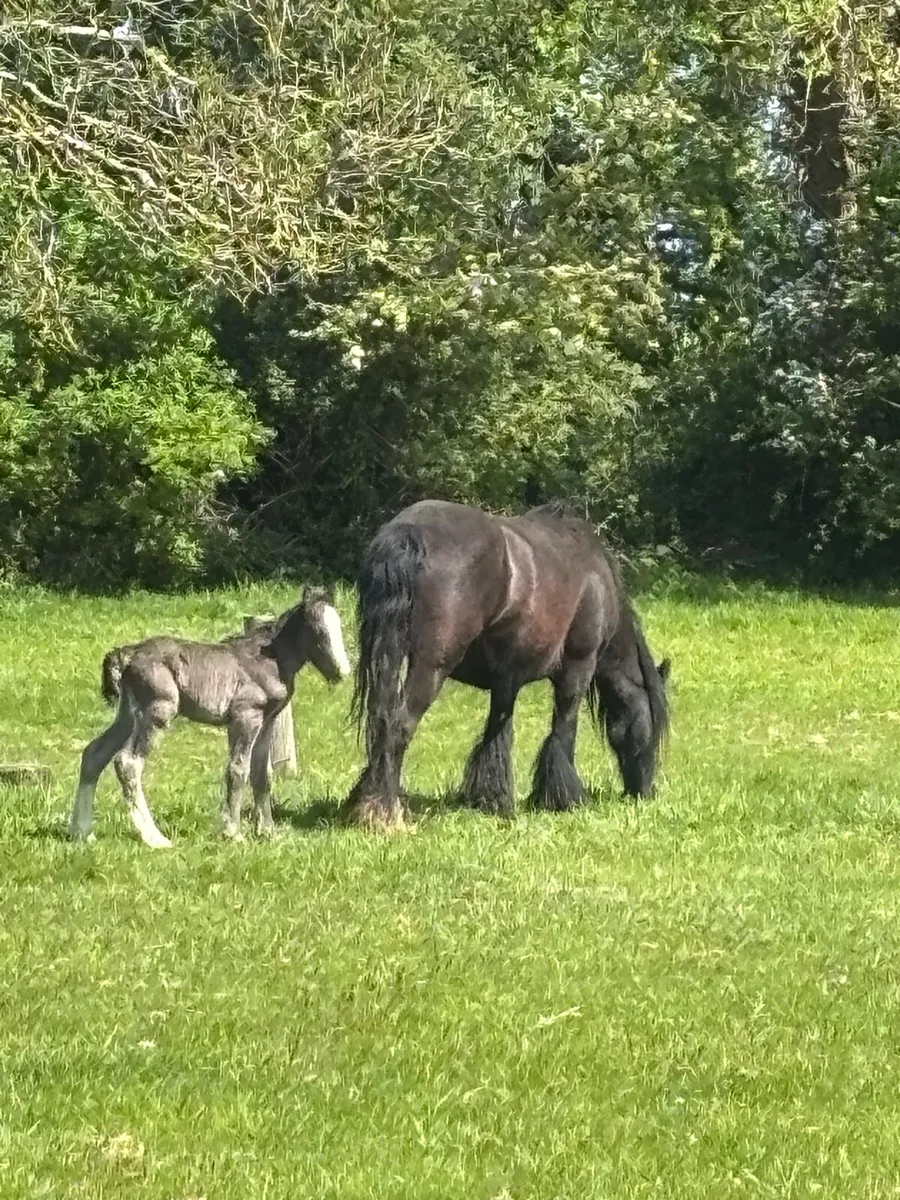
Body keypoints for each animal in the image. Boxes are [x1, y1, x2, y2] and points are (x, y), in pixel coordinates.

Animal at [70, 588, 351, 848]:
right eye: (319, 631)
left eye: (339, 627)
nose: (342, 672)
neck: (268, 661)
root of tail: (126, 654)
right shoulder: (245, 718)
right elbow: (238, 770)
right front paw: (233, 833)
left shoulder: (267, 721)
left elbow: (263, 775)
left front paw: (268, 832)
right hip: (157, 712)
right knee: (128, 762)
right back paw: (154, 838)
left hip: (128, 714)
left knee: (94, 753)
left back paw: (83, 831)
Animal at [344, 500, 670, 828]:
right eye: (653, 724)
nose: (645, 791)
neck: (595, 579)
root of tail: (409, 533)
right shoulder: (577, 669)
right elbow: (563, 731)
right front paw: (563, 799)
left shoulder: (506, 680)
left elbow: (496, 734)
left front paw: (490, 799)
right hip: (430, 668)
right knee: (399, 726)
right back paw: (385, 813)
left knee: (381, 722)